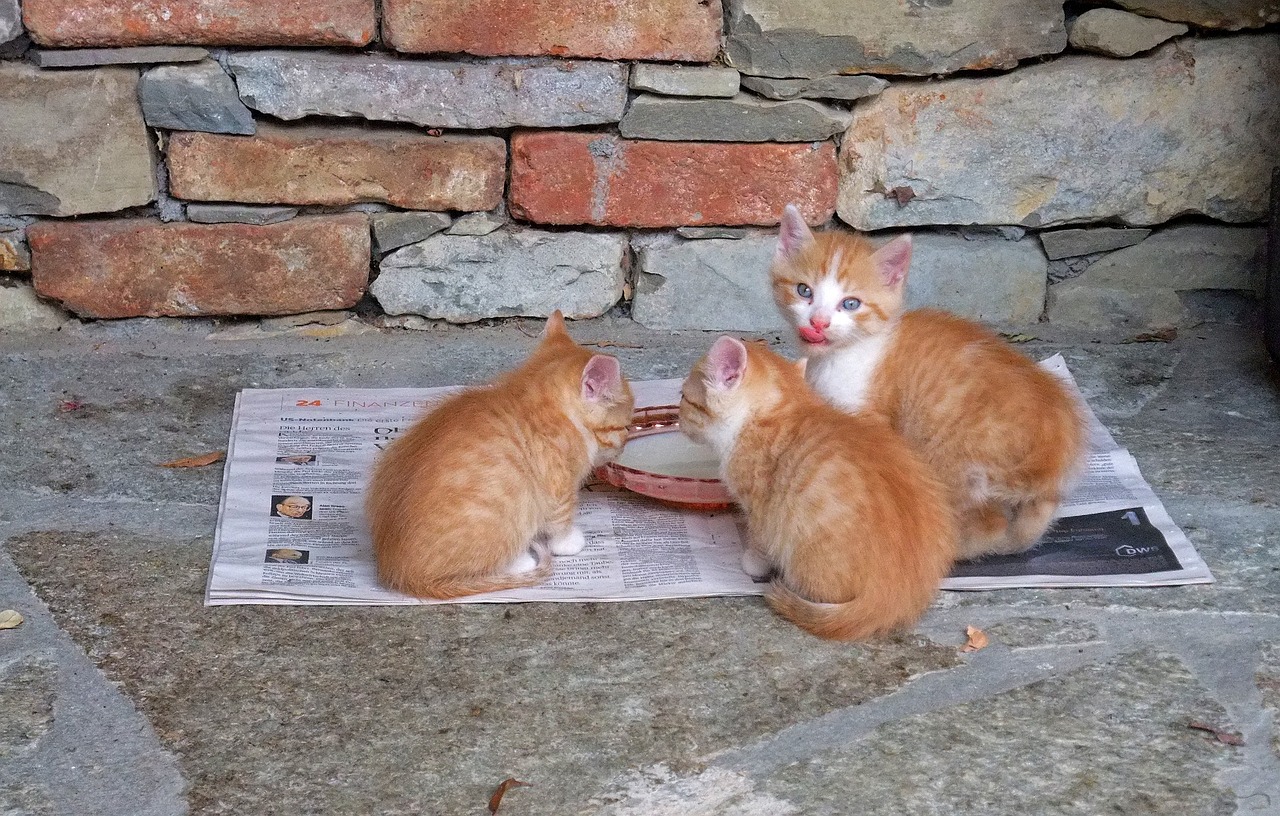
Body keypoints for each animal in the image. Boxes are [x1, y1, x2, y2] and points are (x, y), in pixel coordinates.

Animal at [366, 309, 634, 598]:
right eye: (627, 427)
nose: (624, 445)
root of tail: (403, 573)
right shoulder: (559, 484)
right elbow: (560, 517)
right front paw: (567, 541)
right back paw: (520, 561)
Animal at [680, 335, 962, 642]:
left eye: (683, 397)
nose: (678, 419)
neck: (777, 408)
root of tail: (894, 596)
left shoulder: (759, 503)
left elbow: (760, 538)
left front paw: (753, 562)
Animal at [768, 204, 1090, 562]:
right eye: (804, 291)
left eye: (850, 304)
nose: (818, 322)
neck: (842, 355)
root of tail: (1055, 447)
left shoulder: (870, 418)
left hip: (954, 458)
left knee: (990, 523)